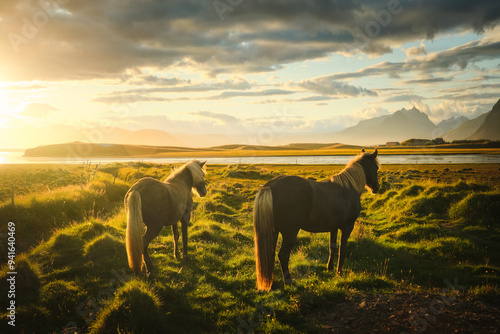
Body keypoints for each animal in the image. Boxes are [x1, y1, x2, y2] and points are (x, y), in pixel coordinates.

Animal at [254, 149, 378, 290]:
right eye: (376, 168)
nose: (377, 188)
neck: (348, 188)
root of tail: (270, 186)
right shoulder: (347, 227)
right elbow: (342, 249)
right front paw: (339, 272)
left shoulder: (334, 227)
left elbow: (332, 247)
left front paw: (329, 268)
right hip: (290, 233)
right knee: (283, 255)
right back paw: (288, 281)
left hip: (273, 231)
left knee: (270, 254)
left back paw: (272, 283)